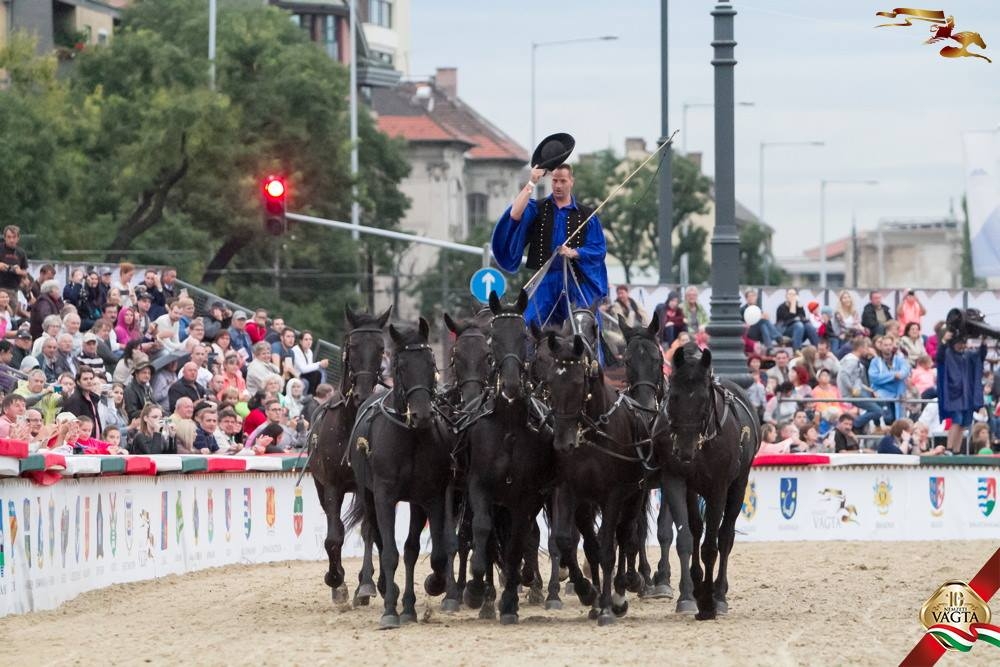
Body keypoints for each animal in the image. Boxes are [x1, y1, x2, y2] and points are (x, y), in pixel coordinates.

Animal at [310, 306, 388, 608]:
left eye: (380, 347)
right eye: (353, 346)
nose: (362, 393)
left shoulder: (371, 484)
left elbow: (370, 531)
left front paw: (365, 585)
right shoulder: (331, 484)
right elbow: (334, 536)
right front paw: (336, 580)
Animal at [344, 320, 454, 628]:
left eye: (430, 362)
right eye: (401, 365)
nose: (422, 415)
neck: (410, 436)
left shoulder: (430, 496)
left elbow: (427, 552)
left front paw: (426, 591)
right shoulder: (384, 494)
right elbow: (390, 551)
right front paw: (391, 611)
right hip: (367, 493)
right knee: (375, 535)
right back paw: (376, 586)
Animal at [540, 332, 648, 628]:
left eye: (579, 382)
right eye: (551, 381)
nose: (562, 443)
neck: (591, 433)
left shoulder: (614, 494)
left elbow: (609, 547)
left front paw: (609, 608)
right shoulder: (568, 491)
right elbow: (567, 540)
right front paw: (588, 593)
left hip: (634, 496)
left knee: (625, 536)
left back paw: (620, 593)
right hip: (586, 505)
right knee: (591, 543)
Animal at [616, 316, 696, 612]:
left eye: (657, 357)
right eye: (627, 360)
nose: (644, 405)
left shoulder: (665, 477)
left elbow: (663, 529)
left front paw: (662, 580)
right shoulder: (637, 483)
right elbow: (636, 530)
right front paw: (642, 578)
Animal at [648, 344, 756, 620]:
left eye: (704, 399)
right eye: (674, 396)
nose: (684, 451)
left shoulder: (719, 486)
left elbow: (711, 545)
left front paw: (709, 601)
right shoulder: (675, 479)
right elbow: (687, 536)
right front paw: (690, 595)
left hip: (738, 485)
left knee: (725, 536)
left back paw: (719, 593)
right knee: (697, 529)